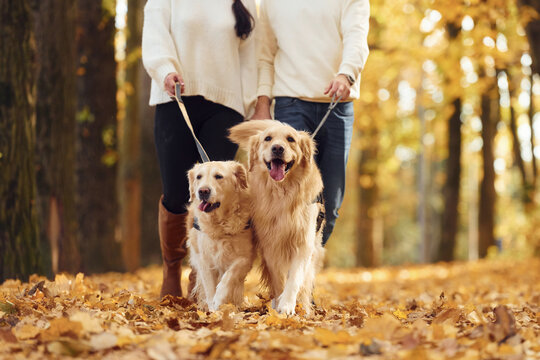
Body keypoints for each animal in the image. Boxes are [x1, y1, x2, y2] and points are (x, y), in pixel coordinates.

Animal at [185, 162, 254, 310]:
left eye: (218, 176)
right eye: (199, 177)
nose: (203, 191)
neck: (220, 224)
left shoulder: (245, 257)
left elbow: (229, 276)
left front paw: (220, 298)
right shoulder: (204, 260)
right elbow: (210, 288)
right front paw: (213, 309)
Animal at [228, 121, 324, 316]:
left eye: (291, 139)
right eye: (268, 138)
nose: (278, 148)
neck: (282, 193)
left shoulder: (303, 243)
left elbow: (294, 279)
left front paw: (287, 306)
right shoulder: (270, 246)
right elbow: (278, 279)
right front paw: (280, 304)